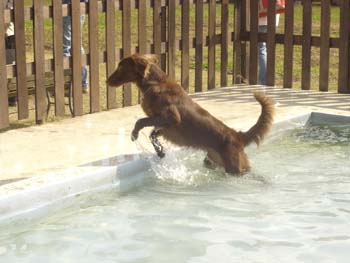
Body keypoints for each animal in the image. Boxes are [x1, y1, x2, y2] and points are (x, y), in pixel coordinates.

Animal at [108, 53, 274, 175]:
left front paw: (134, 134)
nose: (107, 80)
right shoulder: (164, 123)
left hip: (234, 167)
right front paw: (160, 151)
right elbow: (153, 133)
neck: (155, 83)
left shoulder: (172, 117)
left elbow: (141, 121)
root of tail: (238, 135)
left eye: (121, 67)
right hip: (213, 161)